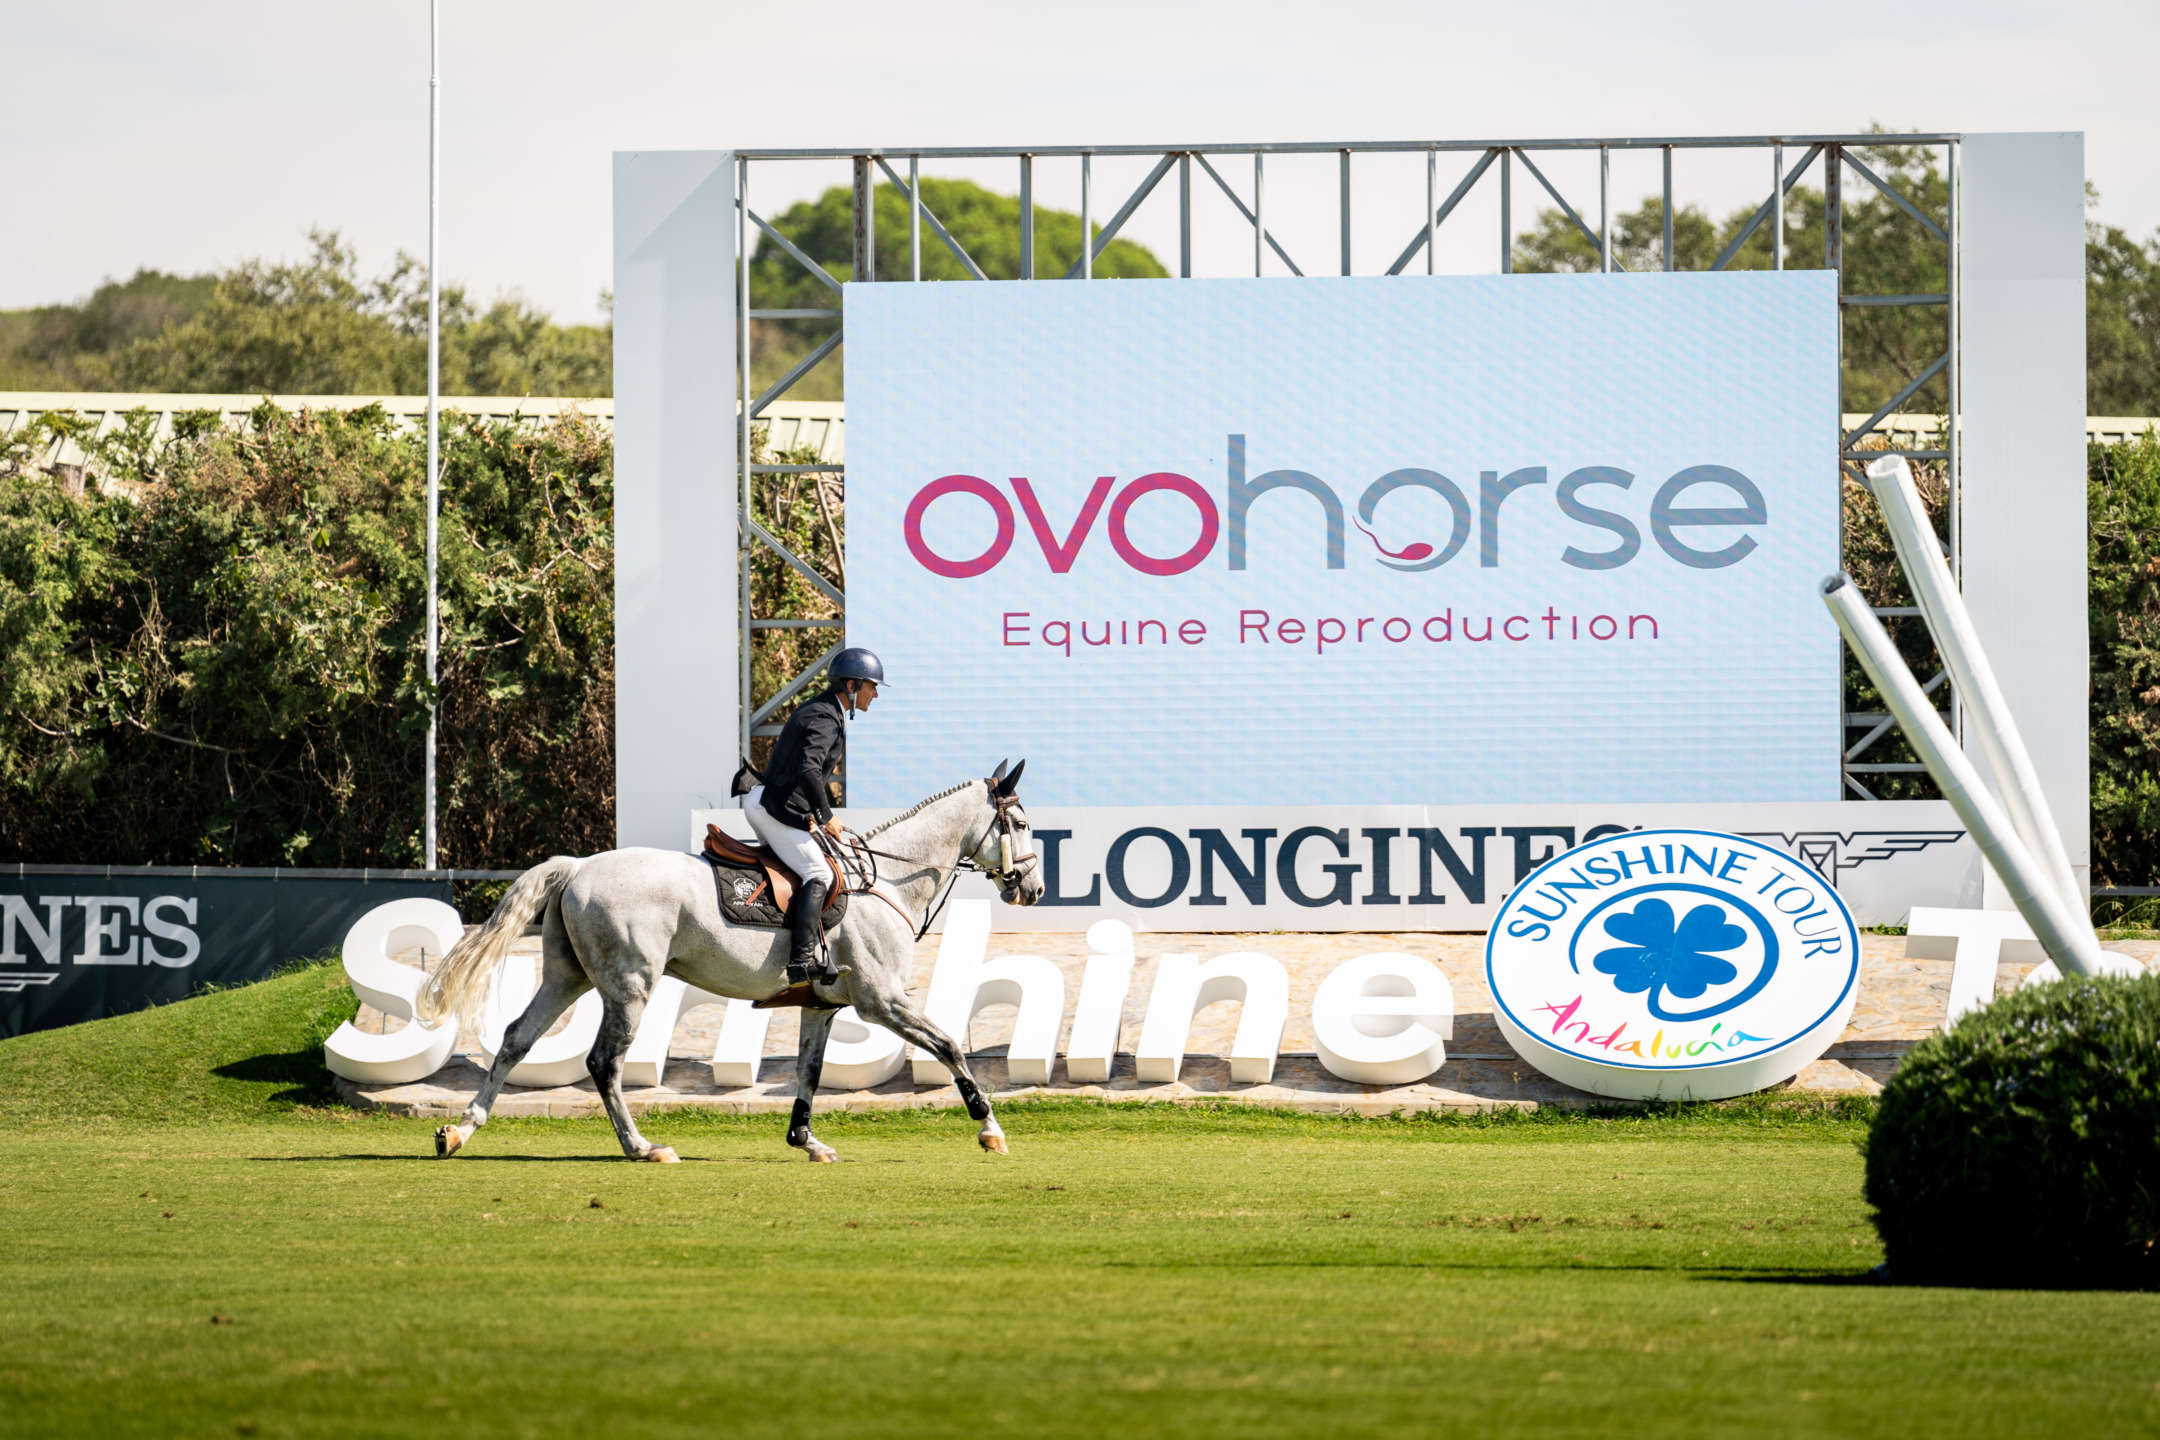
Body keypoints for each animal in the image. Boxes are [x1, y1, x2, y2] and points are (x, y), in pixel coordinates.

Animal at [414, 764, 1045, 1157]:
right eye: (1017, 824)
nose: (1033, 889)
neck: (886, 879)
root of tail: (579, 866)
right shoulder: (881, 1002)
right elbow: (950, 1047)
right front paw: (989, 1129)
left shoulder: (822, 1006)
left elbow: (809, 1072)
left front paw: (807, 1143)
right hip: (630, 986)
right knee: (603, 1062)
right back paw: (641, 1148)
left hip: (567, 977)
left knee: (516, 1040)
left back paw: (461, 1132)